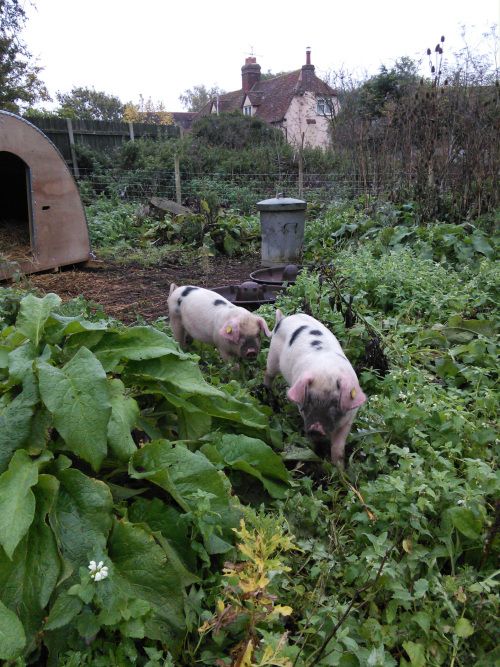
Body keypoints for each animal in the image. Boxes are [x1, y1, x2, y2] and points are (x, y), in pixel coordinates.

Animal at [266, 310, 368, 468]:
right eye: (308, 401)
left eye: (335, 404)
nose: (316, 428)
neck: (326, 371)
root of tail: (283, 319)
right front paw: (316, 454)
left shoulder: (349, 418)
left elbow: (338, 447)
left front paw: (340, 469)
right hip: (272, 356)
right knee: (268, 374)